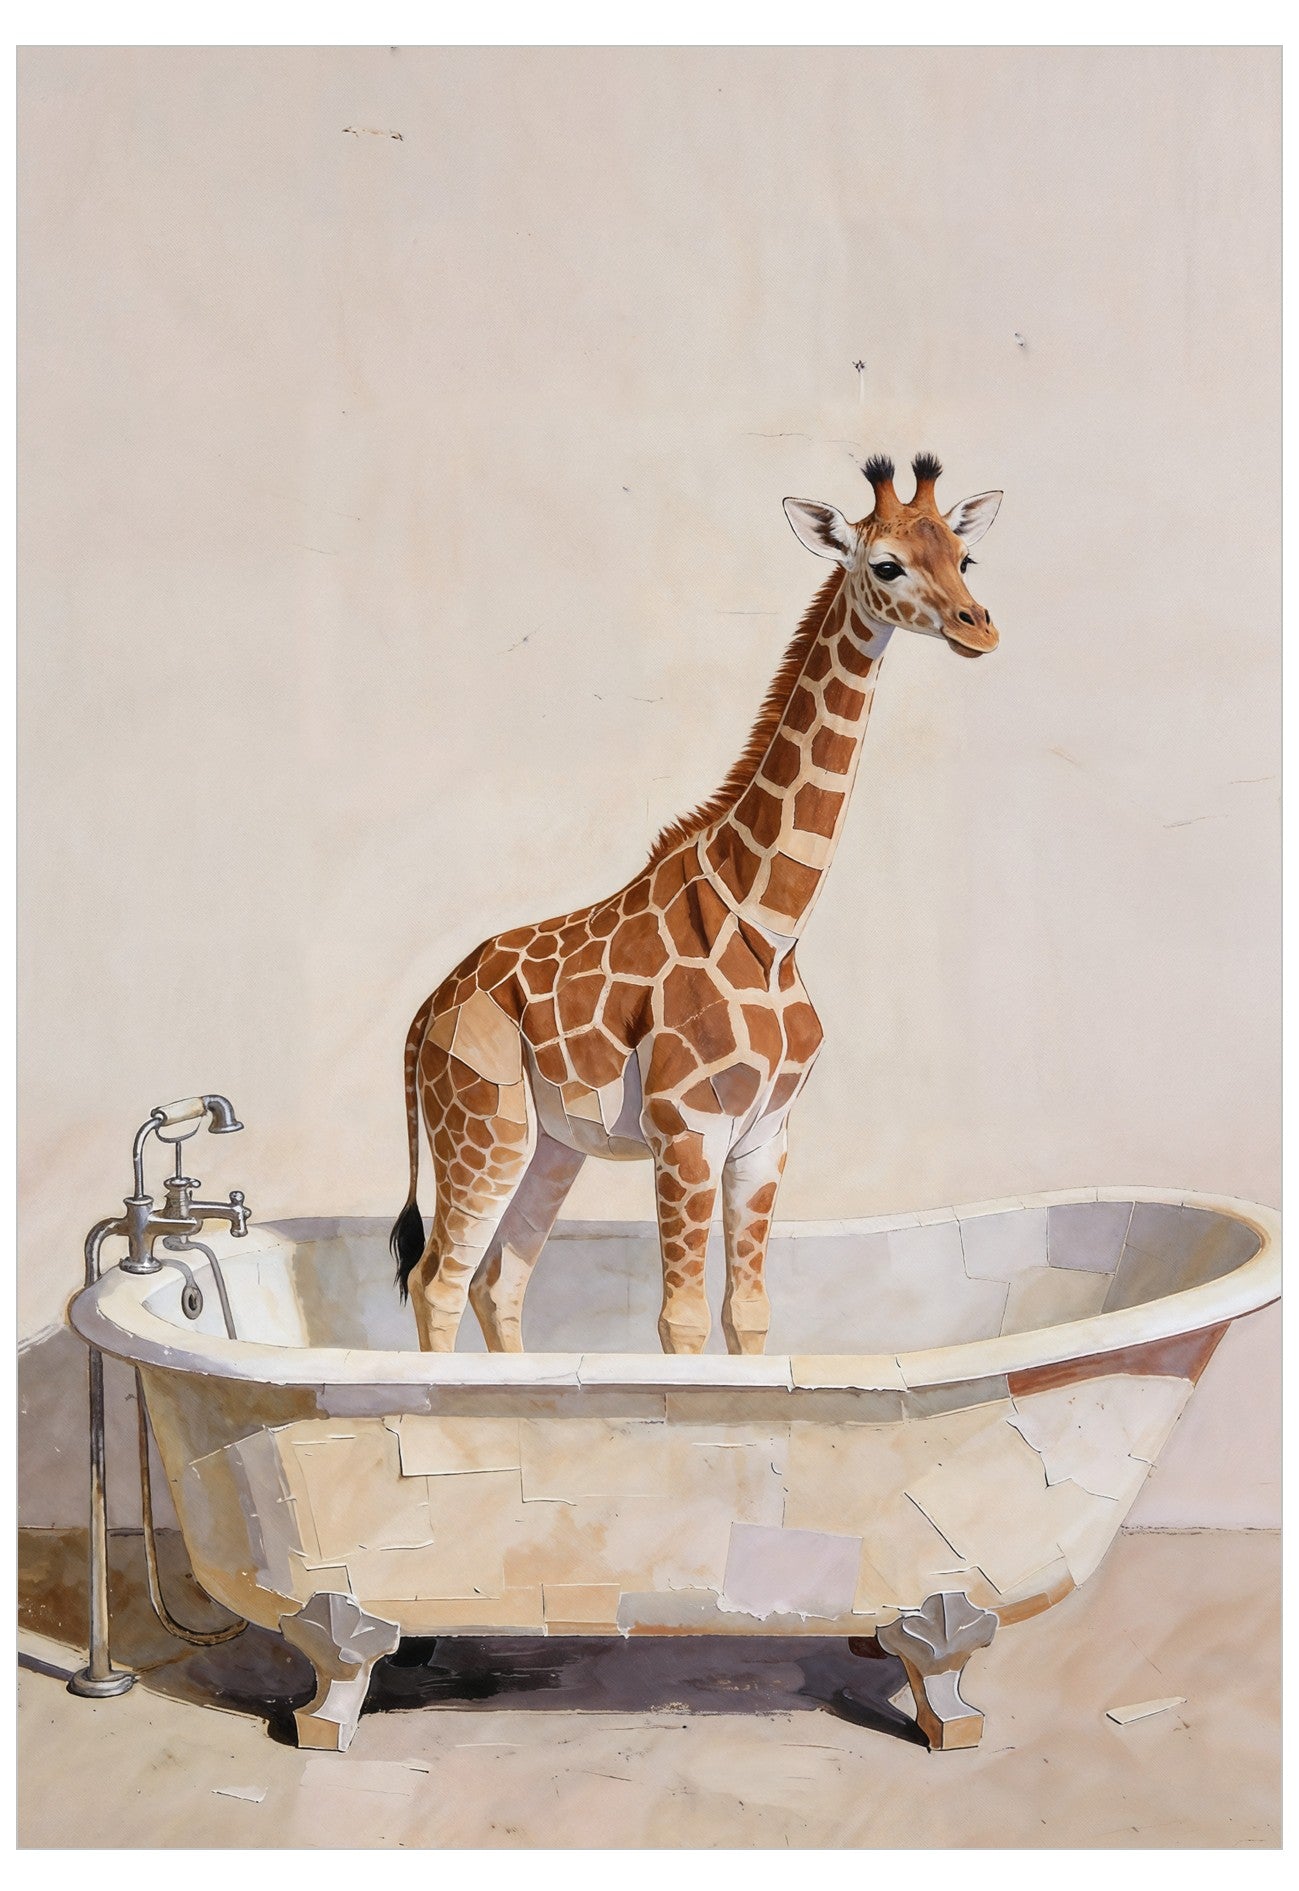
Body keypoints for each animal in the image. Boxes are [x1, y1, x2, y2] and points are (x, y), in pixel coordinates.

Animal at [390, 452, 1003, 1356]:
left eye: (964, 557)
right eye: (886, 564)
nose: (978, 628)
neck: (773, 923)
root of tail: (426, 1009)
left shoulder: (764, 1136)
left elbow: (745, 1312)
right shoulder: (684, 1131)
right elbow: (678, 1319)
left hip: (552, 1144)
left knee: (498, 1281)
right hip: (482, 1128)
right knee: (437, 1279)